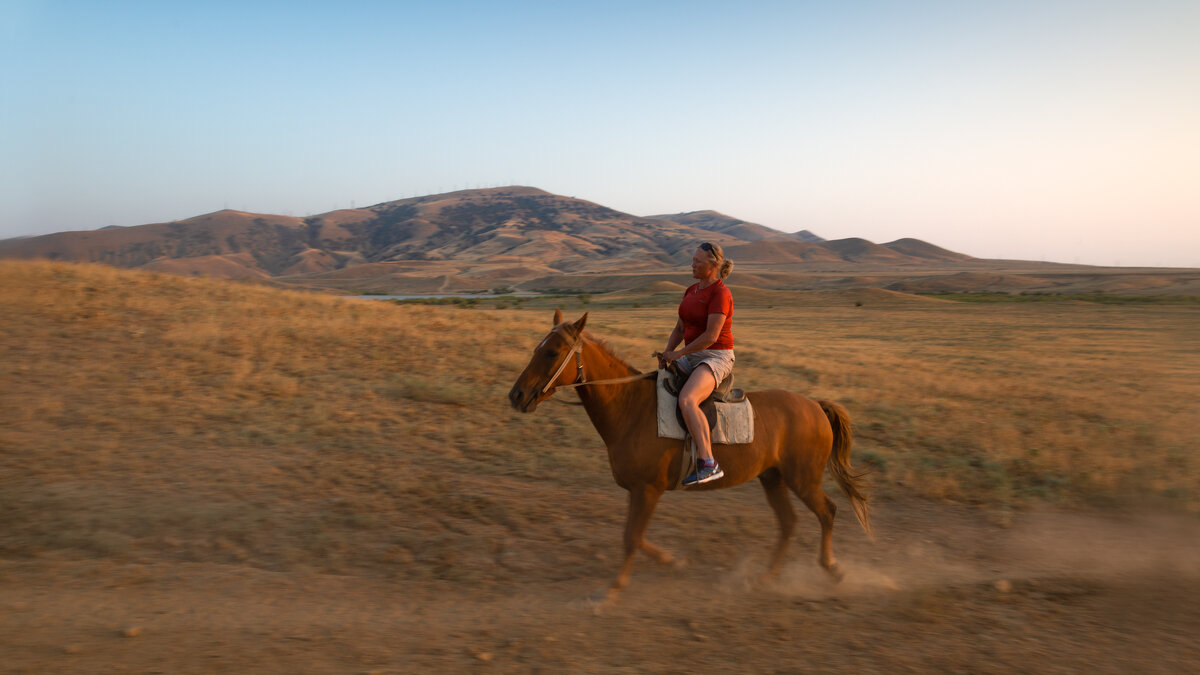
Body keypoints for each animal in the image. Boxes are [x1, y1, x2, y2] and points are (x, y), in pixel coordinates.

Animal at [508, 309, 873, 598]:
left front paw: (613, 589)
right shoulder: (637, 490)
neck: (631, 407)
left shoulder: (648, 490)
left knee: (827, 512)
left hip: (803, 479)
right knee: (788, 523)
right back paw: (767, 577)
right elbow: (636, 536)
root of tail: (815, 406)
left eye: (553, 352)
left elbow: (631, 537)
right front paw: (672, 561)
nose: (516, 395)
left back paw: (832, 568)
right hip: (773, 478)